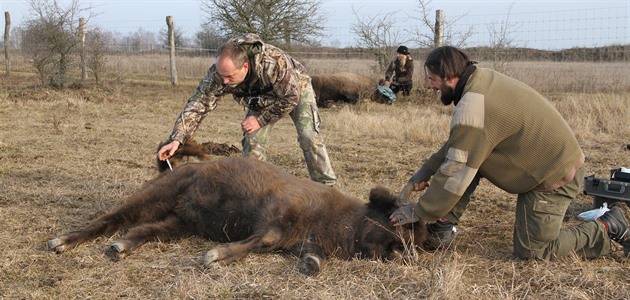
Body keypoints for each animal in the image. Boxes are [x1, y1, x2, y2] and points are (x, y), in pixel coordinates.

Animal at [47, 156, 428, 276]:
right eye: (397, 222)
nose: (411, 255)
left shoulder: (303, 242)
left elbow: (308, 257)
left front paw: (310, 267)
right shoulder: (277, 211)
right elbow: (265, 237)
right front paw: (214, 257)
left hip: (179, 223)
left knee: (145, 230)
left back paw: (120, 248)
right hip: (155, 195)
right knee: (112, 219)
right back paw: (60, 242)